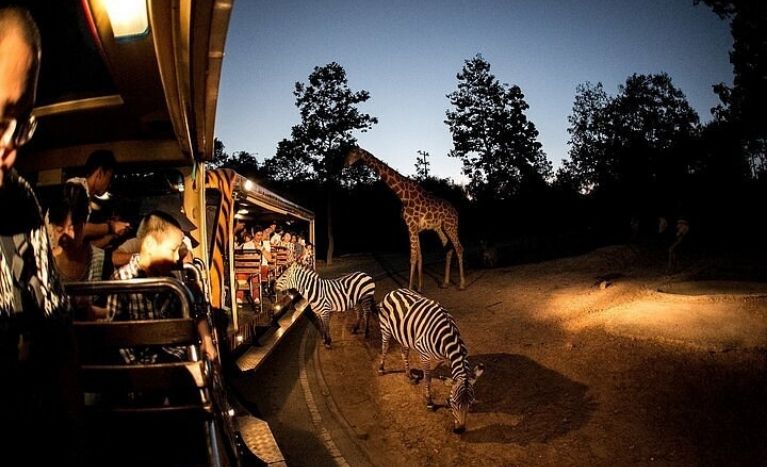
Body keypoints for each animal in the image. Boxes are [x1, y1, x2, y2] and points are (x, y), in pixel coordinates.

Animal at [348, 148, 468, 290]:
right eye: (347, 152)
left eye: (353, 153)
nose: (346, 163)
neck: (403, 196)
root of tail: (456, 212)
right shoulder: (413, 227)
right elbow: (419, 256)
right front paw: (420, 287)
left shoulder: (412, 226)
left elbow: (413, 257)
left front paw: (410, 288)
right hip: (440, 228)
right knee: (448, 249)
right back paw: (445, 283)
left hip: (451, 226)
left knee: (459, 248)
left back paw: (462, 284)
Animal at [380, 288, 486, 436]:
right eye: (454, 403)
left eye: (470, 403)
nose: (460, 430)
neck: (447, 339)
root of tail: (394, 291)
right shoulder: (424, 356)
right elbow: (428, 379)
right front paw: (429, 401)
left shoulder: (446, 358)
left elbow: (446, 377)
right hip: (385, 328)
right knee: (384, 347)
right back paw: (381, 368)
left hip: (404, 335)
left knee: (404, 352)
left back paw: (409, 375)